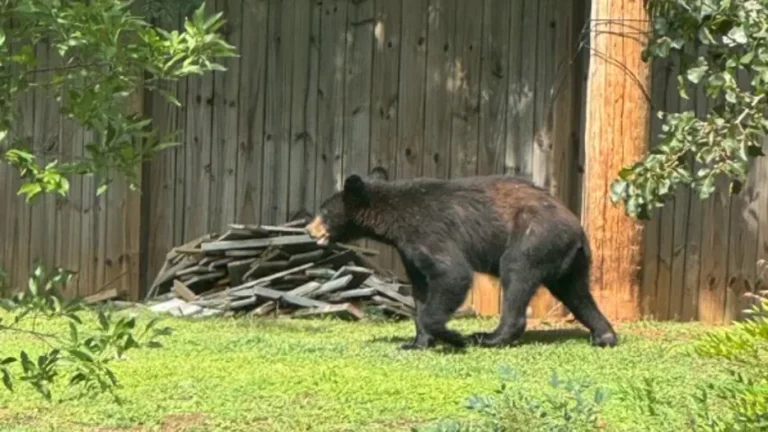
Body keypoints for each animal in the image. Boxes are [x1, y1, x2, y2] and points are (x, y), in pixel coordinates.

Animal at [305, 171, 618, 350]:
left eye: (324, 210)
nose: (310, 229)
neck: (393, 222)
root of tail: (578, 229)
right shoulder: (408, 249)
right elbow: (421, 287)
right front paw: (416, 342)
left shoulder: (428, 231)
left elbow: (452, 273)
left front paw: (453, 336)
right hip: (568, 259)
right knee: (576, 292)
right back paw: (604, 335)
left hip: (534, 236)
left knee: (517, 273)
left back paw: (490, 337)